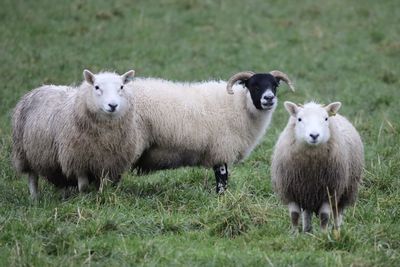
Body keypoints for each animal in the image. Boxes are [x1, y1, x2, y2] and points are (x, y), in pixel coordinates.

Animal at [11, 69, 139, 199]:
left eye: (122, 87)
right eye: (96, 87)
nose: (113, 105)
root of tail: (39, 88)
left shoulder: (109, 162)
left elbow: (104, 184)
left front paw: (102, 194)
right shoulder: (77, 160)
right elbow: (83, 185)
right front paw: (83, 197)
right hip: (25, 153)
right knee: (32, 177)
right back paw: (34, 198)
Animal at [131, 70, 294, 194]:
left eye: (274, 85)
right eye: (254, 85)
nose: (269, 98)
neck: (240, 105)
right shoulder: (221, 149)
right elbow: (222, 179)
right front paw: (222, 198)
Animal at [272, 101, 362, 233]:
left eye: (326, 118)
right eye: (299, 119)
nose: (314, 135)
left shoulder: (330, 190)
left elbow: (324, 216)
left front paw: (323, 234)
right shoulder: (290, 189)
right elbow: (294, 215)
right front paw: (294, 234)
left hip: (346, 190)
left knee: (337, 213)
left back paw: (336, 230)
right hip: (307, 193)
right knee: (307, 213)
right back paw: (307, 230)